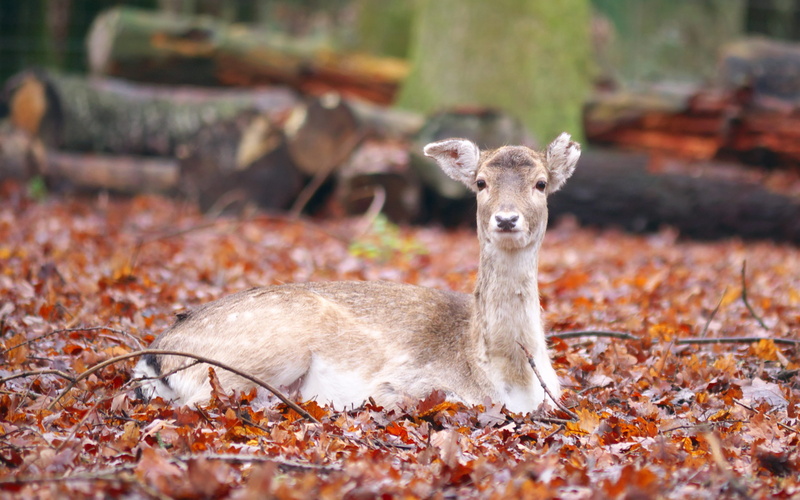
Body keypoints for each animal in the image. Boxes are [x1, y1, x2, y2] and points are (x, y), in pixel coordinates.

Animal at [133, 133, 581, 414]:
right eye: (481, 182)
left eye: (541, 184)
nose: (506, 219)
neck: (507, 377)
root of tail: (153, 358)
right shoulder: (413, 384)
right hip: (261, 354)